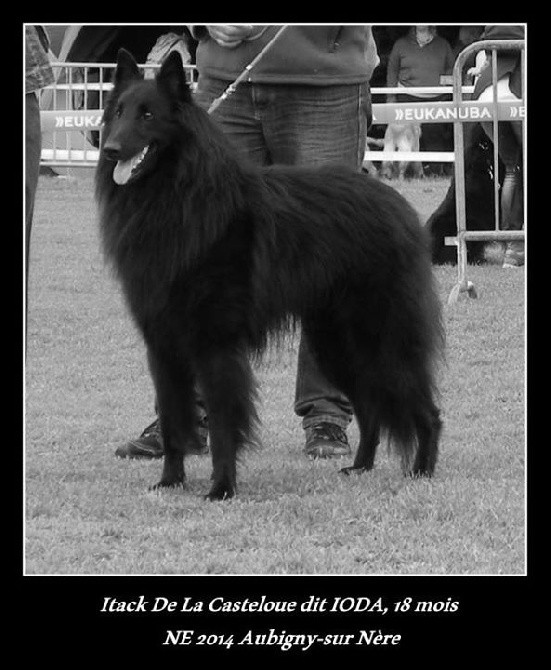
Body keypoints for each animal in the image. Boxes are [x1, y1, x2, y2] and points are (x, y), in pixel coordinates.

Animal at [97, 50, 446, 502]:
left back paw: (421, 471)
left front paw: (221, 488)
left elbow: (223, 425)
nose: (109, 149)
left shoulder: (217, 346)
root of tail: (399, 206)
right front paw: (170, 481)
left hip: (382, 341)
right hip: (336, 345)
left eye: (148, 115)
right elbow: (174, 422)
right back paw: (360, 466)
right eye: (118, 112)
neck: (176, 196)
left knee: (426, 410)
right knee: (370, 408)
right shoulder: (163, 346)